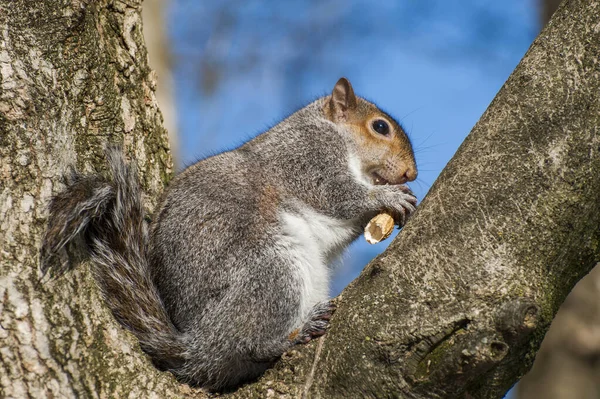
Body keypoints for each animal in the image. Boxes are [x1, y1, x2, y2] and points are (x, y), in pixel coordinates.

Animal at [41, 77, 418, 390]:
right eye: (380, 127)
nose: (410, 173)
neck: (334, 135)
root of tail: (199, 346)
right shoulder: (308, 159)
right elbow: (338, 195)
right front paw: (387, 197)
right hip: (271, 272)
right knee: (250, 344)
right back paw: (294, 334)